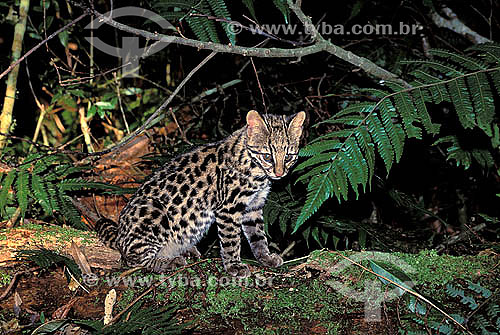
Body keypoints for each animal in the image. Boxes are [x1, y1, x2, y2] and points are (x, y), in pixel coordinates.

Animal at [94, 110, 304, 278]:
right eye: (267, 156)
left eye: (289, 156)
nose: (279, 174)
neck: (258, 173)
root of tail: (120, 234)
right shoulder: (228, 209)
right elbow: (231, 239)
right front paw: (234, 265)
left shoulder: (253, 207)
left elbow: (258, 236)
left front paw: (265, 257)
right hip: (154, 211)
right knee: (132, 259)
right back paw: (167, 262)